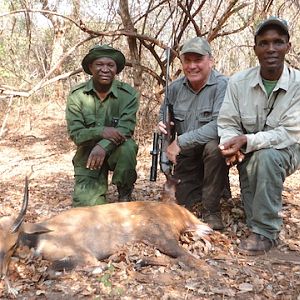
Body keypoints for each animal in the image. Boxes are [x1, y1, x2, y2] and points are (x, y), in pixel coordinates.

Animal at [0, 177, 213, 294]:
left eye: (13, 244)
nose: (2, 273)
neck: (43, 236)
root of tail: (179, 210)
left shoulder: (84, 254)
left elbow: (51, 269)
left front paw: (97, 269)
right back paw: (139, 262)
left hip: (162, 238)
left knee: (190, 259)